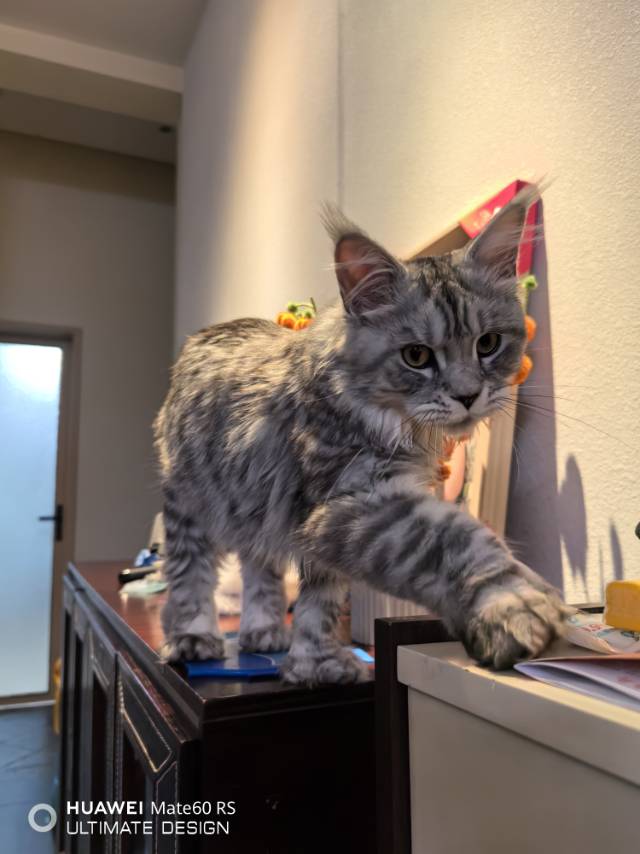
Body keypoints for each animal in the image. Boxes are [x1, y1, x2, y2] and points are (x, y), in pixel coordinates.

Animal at [154, 185, 569, 685]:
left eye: (488, 344)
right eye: (417, 356)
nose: (468, 395)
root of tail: (212, 330)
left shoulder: (319, 529)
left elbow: (319, 605)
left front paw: (313, 664)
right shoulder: (352, 502)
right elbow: (457, 541)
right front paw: (516, 605)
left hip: (257, 511)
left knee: (261, 568)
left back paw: (264, 631)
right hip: (188, 502)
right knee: (189, 575)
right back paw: (193, 637)